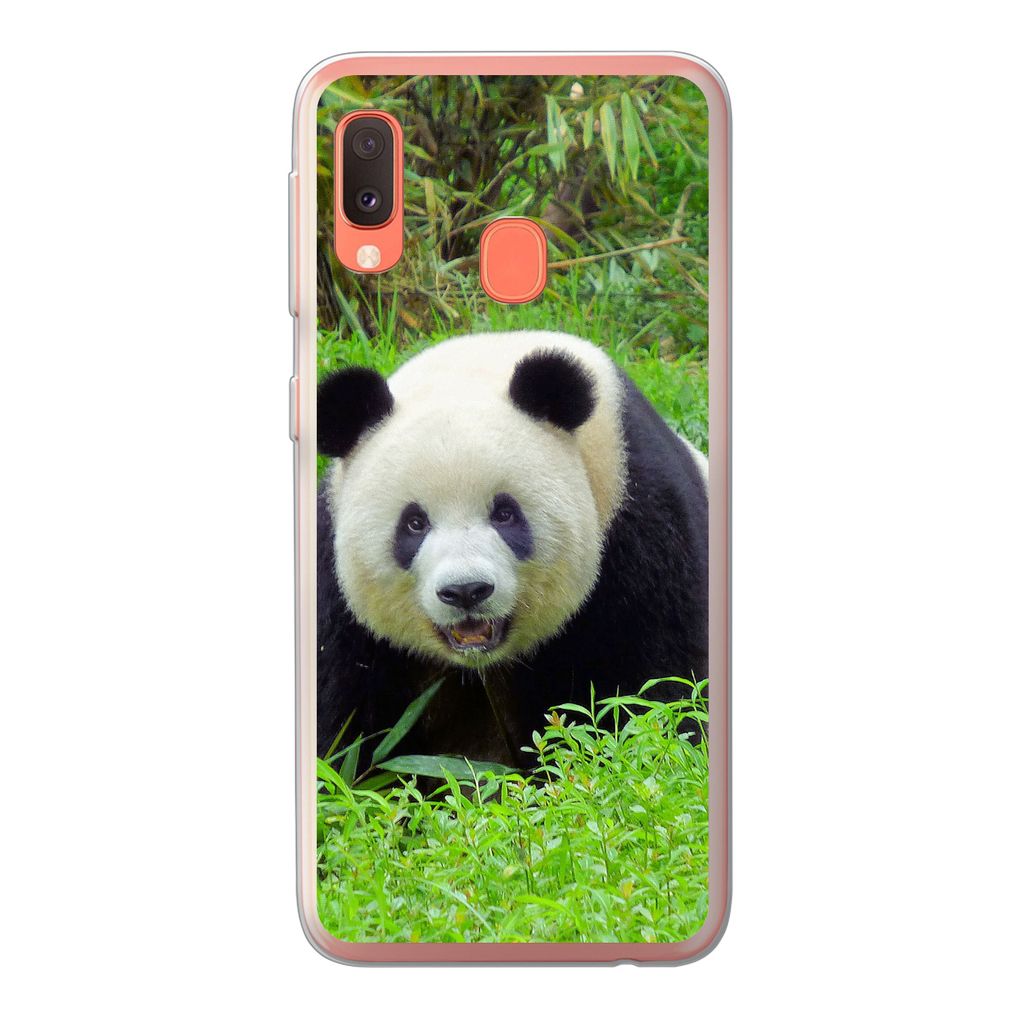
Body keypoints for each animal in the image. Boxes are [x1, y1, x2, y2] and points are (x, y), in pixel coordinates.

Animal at [316, 331, 708, 770]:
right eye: (414, 523)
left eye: (505, 514)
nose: (466, 591)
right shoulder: (337, 591)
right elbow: (344, 716)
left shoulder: (640, 522)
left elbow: (655, 681)